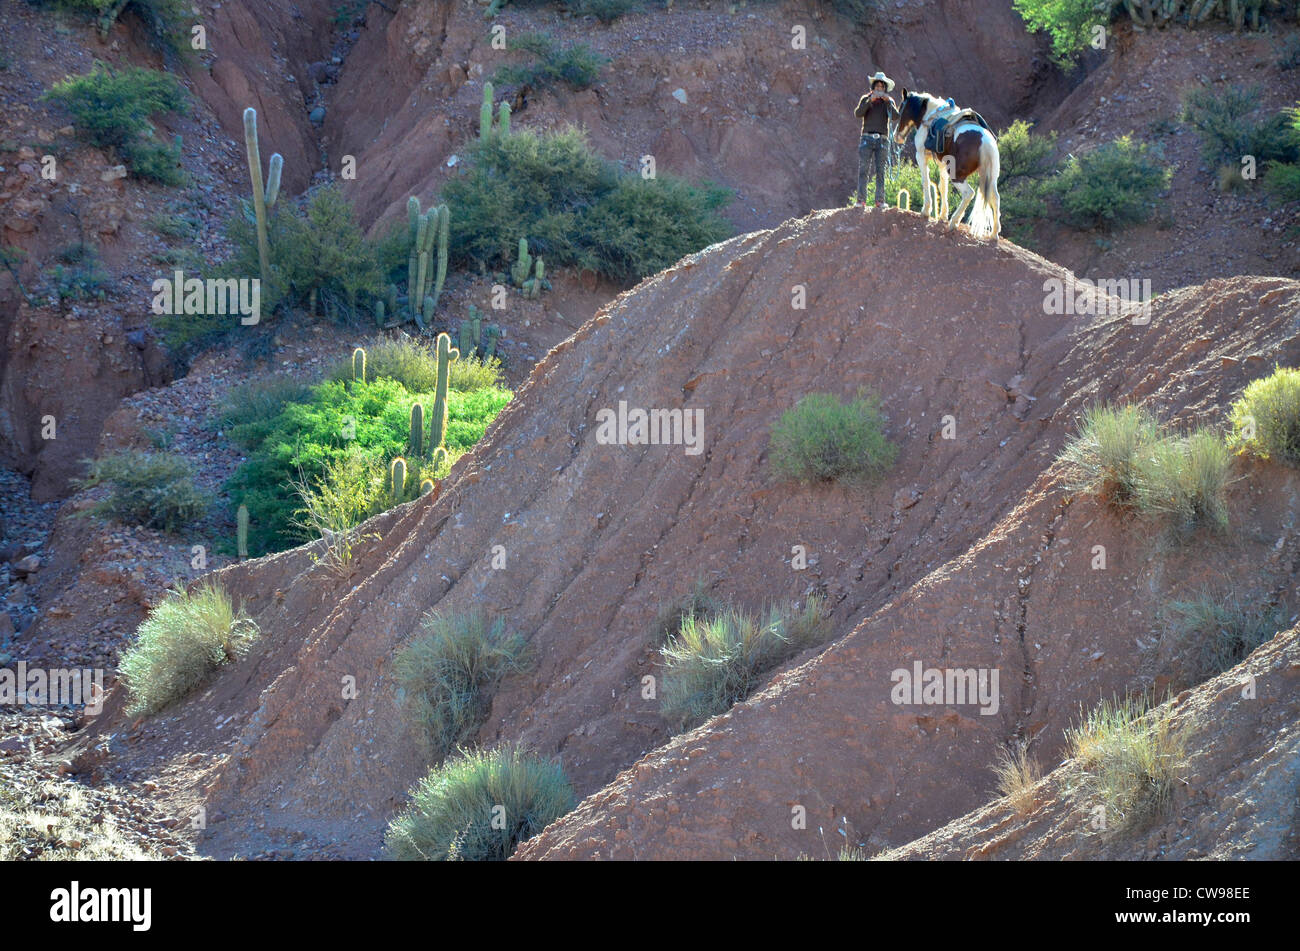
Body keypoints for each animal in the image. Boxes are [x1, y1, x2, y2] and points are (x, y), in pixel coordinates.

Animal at [894, 89, 1003, 239]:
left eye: (900, 110)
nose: (896, 136)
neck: (929, 115)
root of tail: (984, 141)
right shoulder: (942, 164)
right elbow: (942, 186)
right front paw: (943, 215)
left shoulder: (921, 155)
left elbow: (926, 181)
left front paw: (926, 211)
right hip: (991, 177)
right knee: (995, 197)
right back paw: (994, 234)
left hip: (957, 175)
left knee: (969, 193)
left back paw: (954, 222)